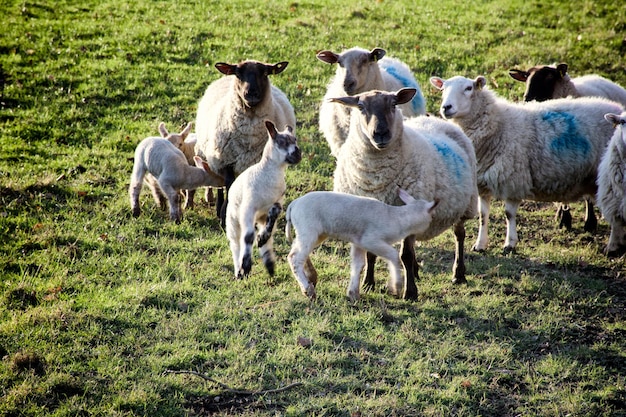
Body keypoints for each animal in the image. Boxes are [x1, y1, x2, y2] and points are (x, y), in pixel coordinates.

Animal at [194, 59, 294, 223]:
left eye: (265, 73)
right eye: (238, 74)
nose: (251, 93)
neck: (249, 133)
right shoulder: (225, 160)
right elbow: (229, 184)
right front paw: (224, 215)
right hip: (214, 157)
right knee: (221, 184)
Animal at [225, 118, 302, 278]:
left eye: (295, 140)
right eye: (282, 142)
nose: (298, 154)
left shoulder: (277, 202)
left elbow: (274, 214)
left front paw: (261, 238)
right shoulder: (248, 208)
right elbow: (248, 237)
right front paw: (246, 267)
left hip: (260, 218)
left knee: (268, 239)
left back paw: (269, 263)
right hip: (233, 221)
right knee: (236, 243)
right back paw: (238, 271)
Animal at [286, 189, 436, 302]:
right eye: (431, 218)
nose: (428, 231)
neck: (396, 218)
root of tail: (294, 204)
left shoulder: (359, 243)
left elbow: (358, 264)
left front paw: (353, 293)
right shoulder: (370, 240)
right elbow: (393, 255)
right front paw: (396, 287)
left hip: (313, 233)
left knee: (294, 252)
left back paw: (311, 278)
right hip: (309, 229)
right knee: (295, 258)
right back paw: (308, 290)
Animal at [426, 74, 620, 250]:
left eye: (468, 88)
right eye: (443, 89)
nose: (446, 107)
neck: (499, 125)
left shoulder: (514, 180)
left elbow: (509, 214)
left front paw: (509, 244)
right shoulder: (483, 183)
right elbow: (482, 216)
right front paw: (480, 244)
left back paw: (612, 246)